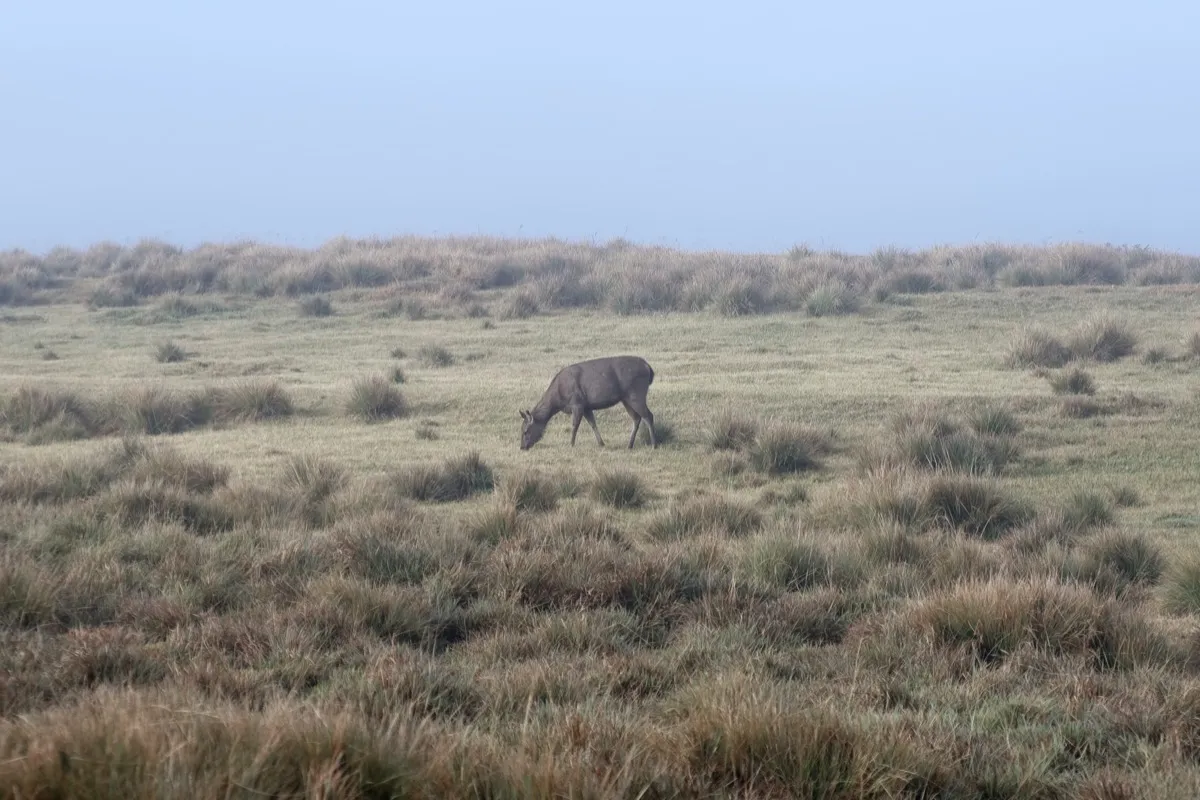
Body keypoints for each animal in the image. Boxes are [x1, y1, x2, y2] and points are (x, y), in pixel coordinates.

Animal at [519, 355, 657, 451]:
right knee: (637, 418)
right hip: (626, 398)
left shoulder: (577, 403)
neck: (558, 400)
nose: (522, 447)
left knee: (648, 415)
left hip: (636, 393)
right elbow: (593, 424)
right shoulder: (586, 406)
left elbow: (575, 425)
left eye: (525, 431)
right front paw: (601, 443)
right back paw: (629, 445)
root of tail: (649, 368)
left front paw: (571, 444)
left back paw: (654, 445)